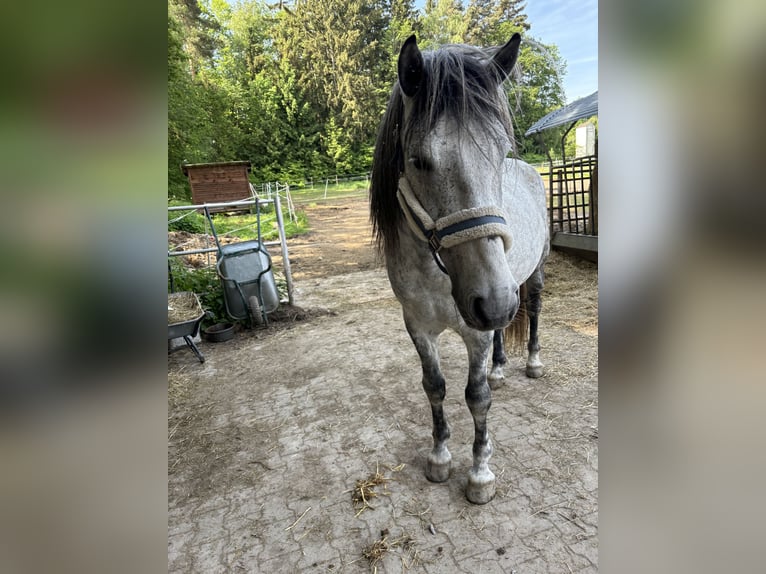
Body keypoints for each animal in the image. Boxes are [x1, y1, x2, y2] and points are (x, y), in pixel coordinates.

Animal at [368, 35, 548, 504]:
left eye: (500, 152)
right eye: (418, 160)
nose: (494, 301)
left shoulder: (475, 330)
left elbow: (476, 397)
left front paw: (480, 472)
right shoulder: (418, 326)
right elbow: (435, 387)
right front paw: (439, 456)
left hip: (531, 277)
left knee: (533, 310)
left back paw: (533, 362)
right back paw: (501, 367)